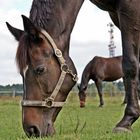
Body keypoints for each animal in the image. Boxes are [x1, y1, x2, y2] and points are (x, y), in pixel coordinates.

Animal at [6, 0, 140, 137]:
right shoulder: (115, 14)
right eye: (21, 73)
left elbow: (130, 65)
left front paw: (126, 121)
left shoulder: (130, 10)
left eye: (40, 69)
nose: (31, 129)